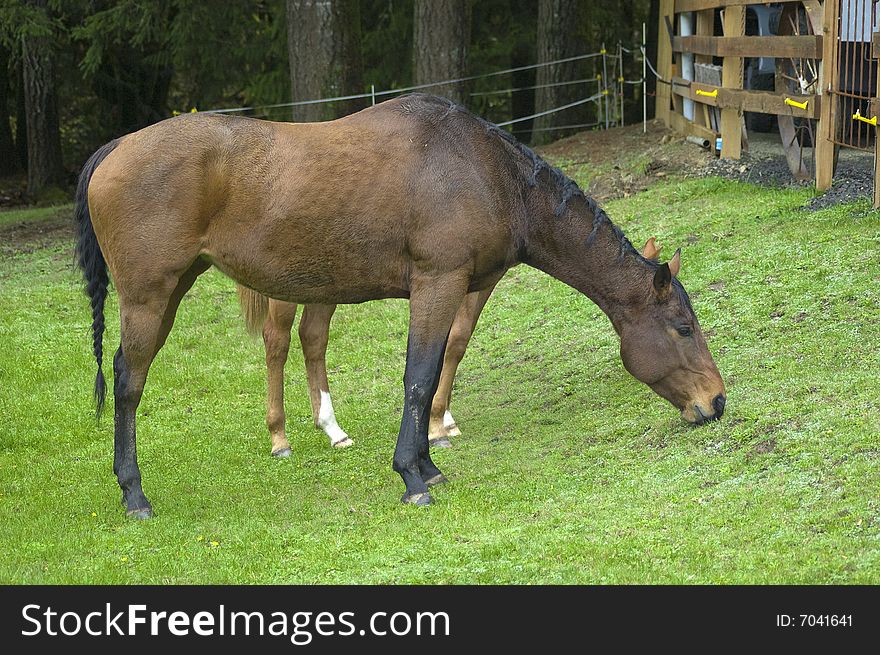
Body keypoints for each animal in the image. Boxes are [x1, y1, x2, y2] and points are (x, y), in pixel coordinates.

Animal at [237, 238, 664, 458]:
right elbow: (455, 342)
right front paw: (438, 422)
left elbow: (451, 344)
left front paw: (442, 418)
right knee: (277, 341)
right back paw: (280, 437)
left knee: (313, 337)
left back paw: (332, 429)